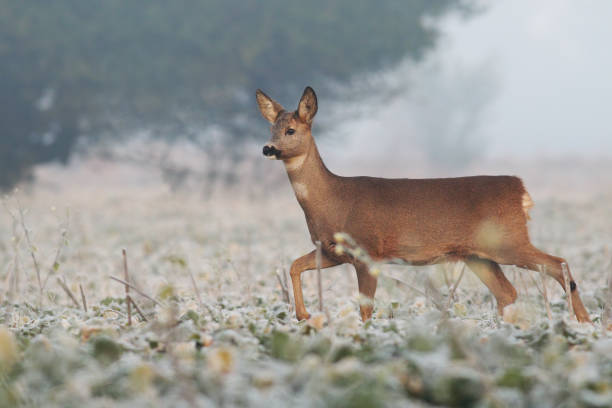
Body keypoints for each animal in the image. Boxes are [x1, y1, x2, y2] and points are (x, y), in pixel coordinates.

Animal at [256, 86, 592, 322]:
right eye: (271, 129)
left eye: (290, 130)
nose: (267, 148)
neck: (333, 201)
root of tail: (521, 191)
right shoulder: (332, 251)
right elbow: (294, 266)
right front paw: (303, 315)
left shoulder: (367, 250)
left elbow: (366, 308)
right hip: (477, 254)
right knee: (507, 291)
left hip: (508, 240)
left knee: (558, 263)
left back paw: (583, 322)